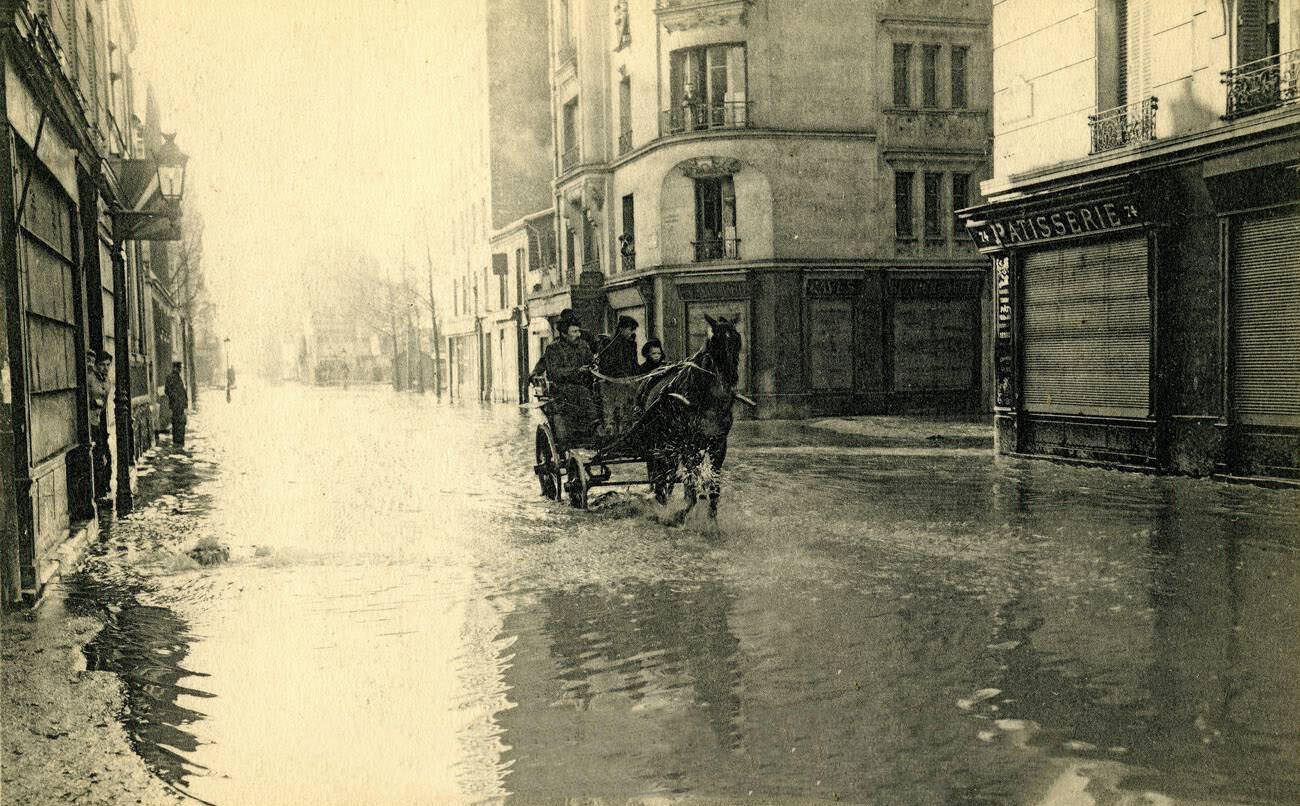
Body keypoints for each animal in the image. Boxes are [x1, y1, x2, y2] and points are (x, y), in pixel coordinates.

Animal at [637, 314, 743, 522]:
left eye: (737, 340)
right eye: (715, 341)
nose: (730, 377)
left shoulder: (719, 444)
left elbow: (713, 485)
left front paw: (712, 521)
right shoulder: (688, 445)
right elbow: (691, 482)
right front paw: (681, 513)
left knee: (669, 472)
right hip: (659, 440)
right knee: (660, 470)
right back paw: (660, 499)